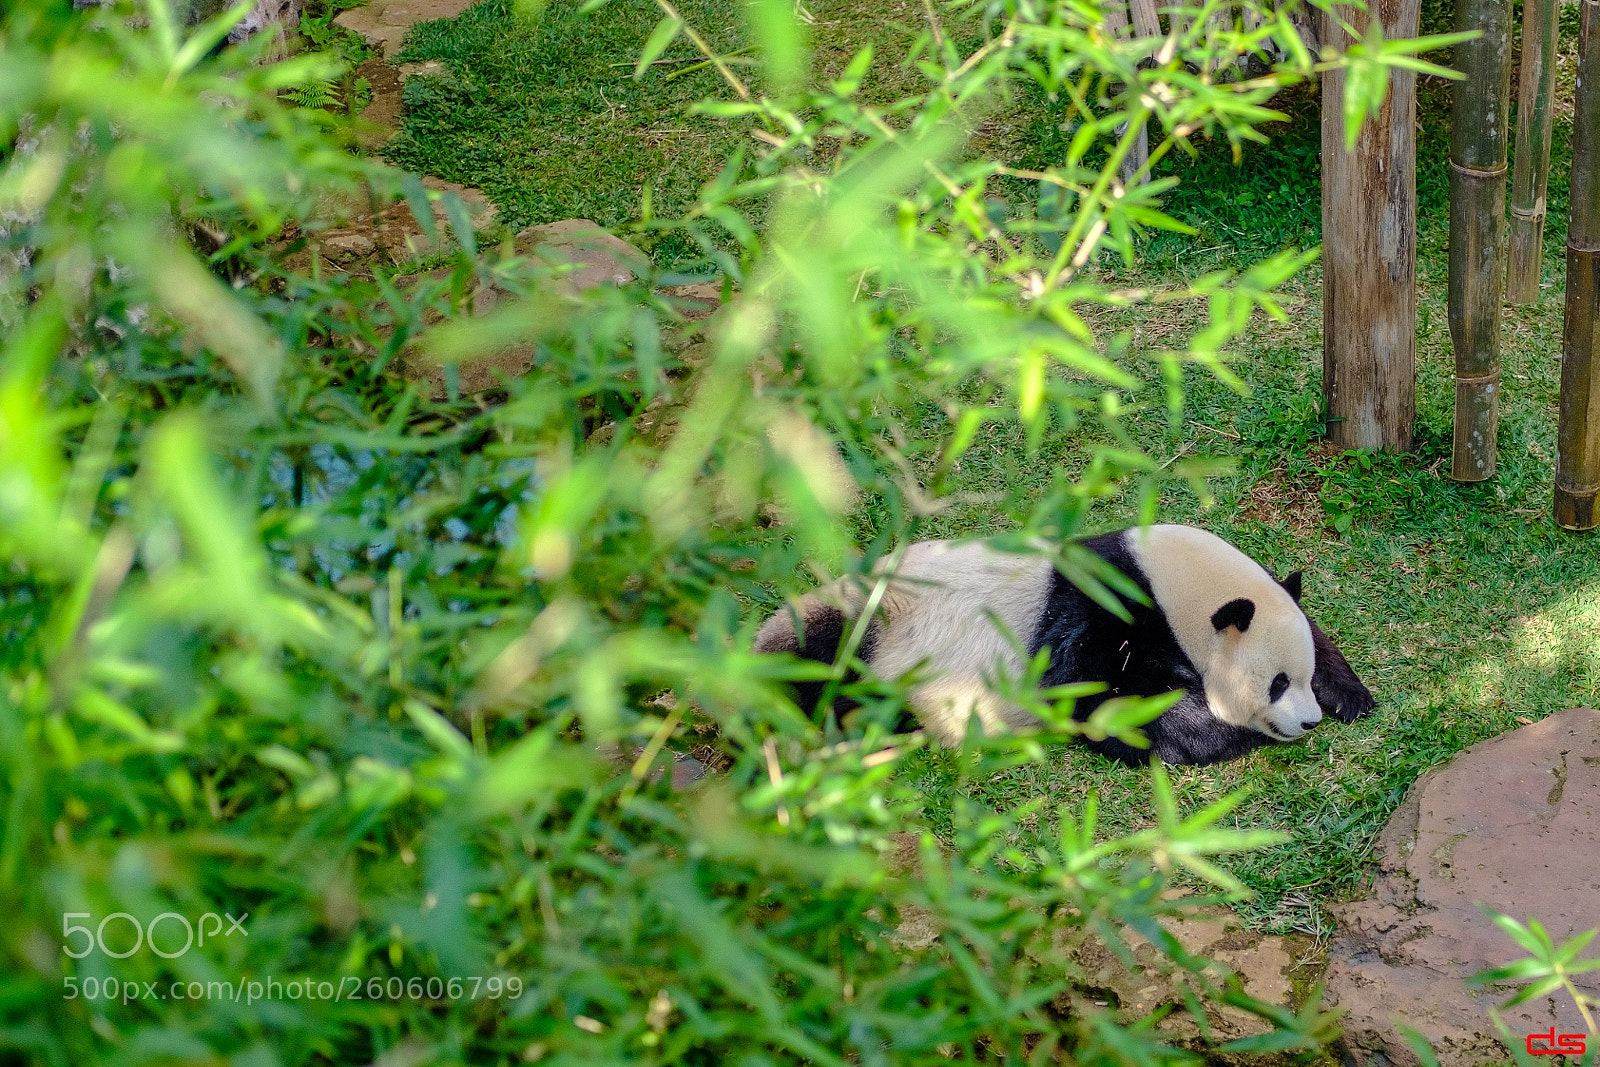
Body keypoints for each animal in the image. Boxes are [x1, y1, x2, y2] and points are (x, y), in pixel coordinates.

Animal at [753, 524, 1374, 766]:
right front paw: (1221, 731)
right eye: (1276, 683)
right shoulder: (1100, 609)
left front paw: (1351, 695)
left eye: (1300, 676)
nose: (1309, 721)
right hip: (866, 621)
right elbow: (1095, 693)